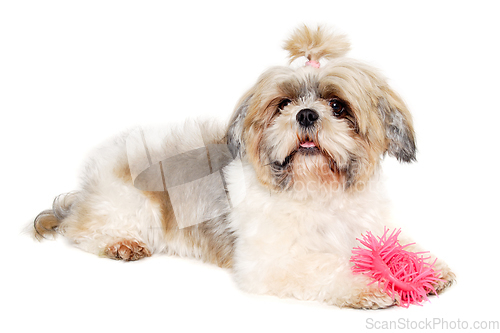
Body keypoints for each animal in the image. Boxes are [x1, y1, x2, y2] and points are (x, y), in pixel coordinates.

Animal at [31, 26, 454, 308]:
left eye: (338, 106)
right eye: (283, 104)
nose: (305, 114)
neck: (318, 190)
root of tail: (85, 188)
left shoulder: (365, 225)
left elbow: (396, 242)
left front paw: (421, 267)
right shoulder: (274, 261)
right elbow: (326, 268)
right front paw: (370, 284)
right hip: (128, 203)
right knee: (83, 231)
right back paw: (121, 244)